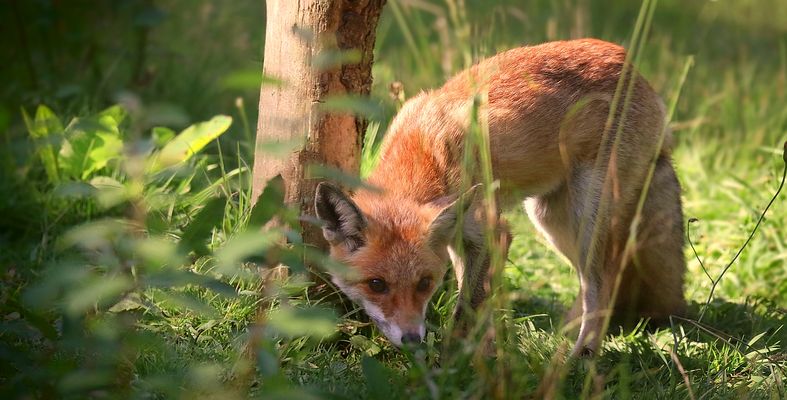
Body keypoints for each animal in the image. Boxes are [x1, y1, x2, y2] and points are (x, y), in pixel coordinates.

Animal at [314, 38, 686, 356]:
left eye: (424, 283)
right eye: (376, 285)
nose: (412, 339)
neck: (422, 154)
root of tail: (633, 67)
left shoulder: (491, 231)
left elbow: (467, 309)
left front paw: (450, 365)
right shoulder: (460, 238)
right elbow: (478, 301)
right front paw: (485, 352)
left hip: (585, 212)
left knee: (603, 281)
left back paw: (581, 358)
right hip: (551, 218)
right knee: (589, 281)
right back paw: (566, 336)